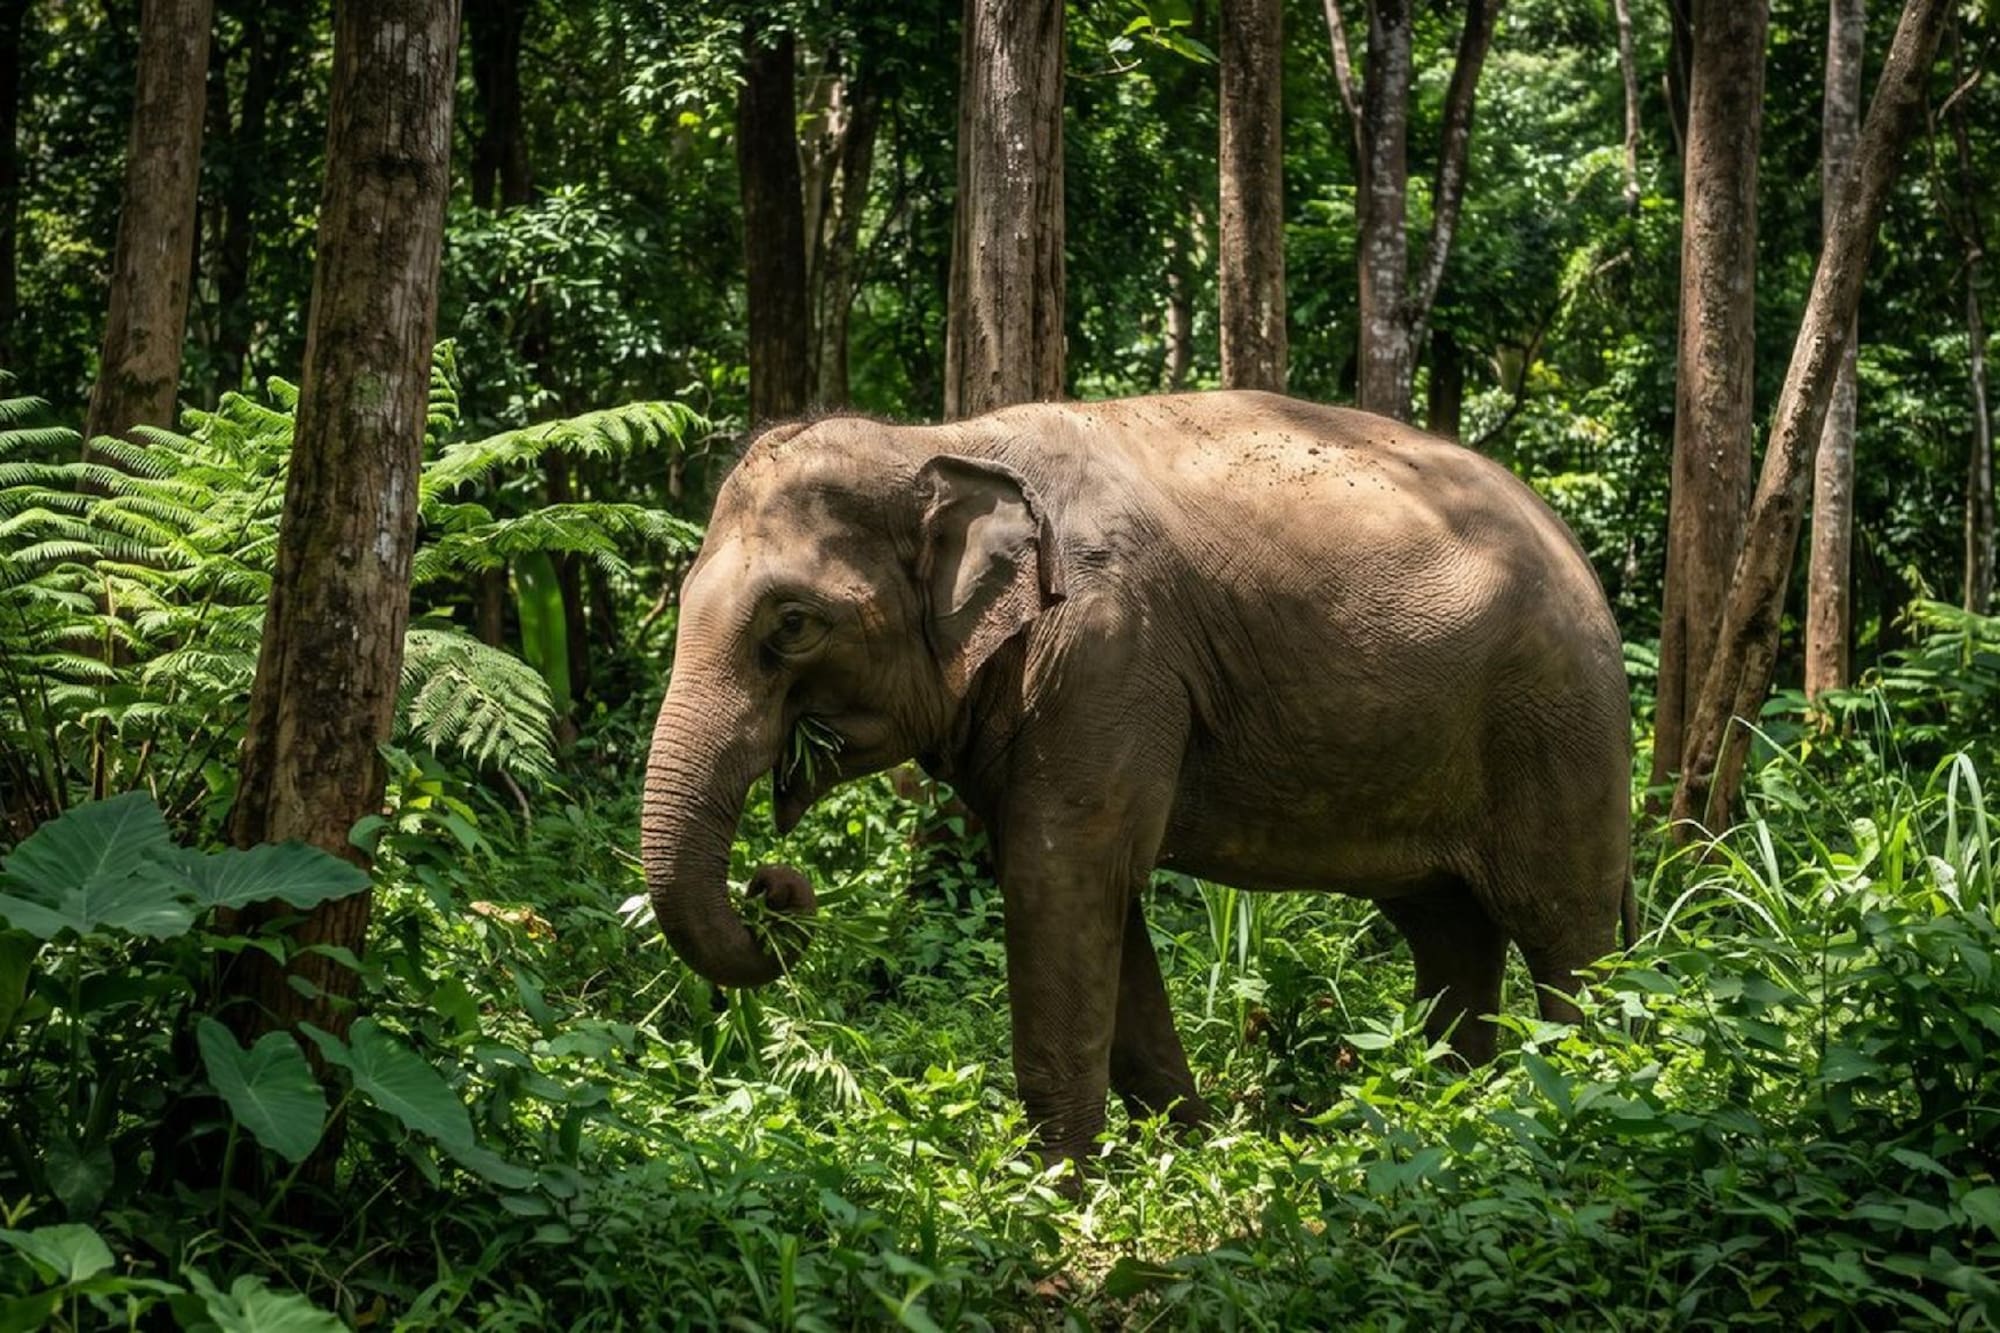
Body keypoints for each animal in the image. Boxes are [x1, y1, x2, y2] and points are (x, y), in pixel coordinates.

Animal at [642, 390, 1634, 1167]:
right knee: (1449, 931)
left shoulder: (1108, 656)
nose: (775, 887)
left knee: (1566, 934)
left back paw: (1574, 1103)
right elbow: (1102, 907)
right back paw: (1446, 1115)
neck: (940, 436)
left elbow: (1058, 881)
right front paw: (1187, 1155)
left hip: (1558, 727)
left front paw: (1058, 1195)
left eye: (794, 624)